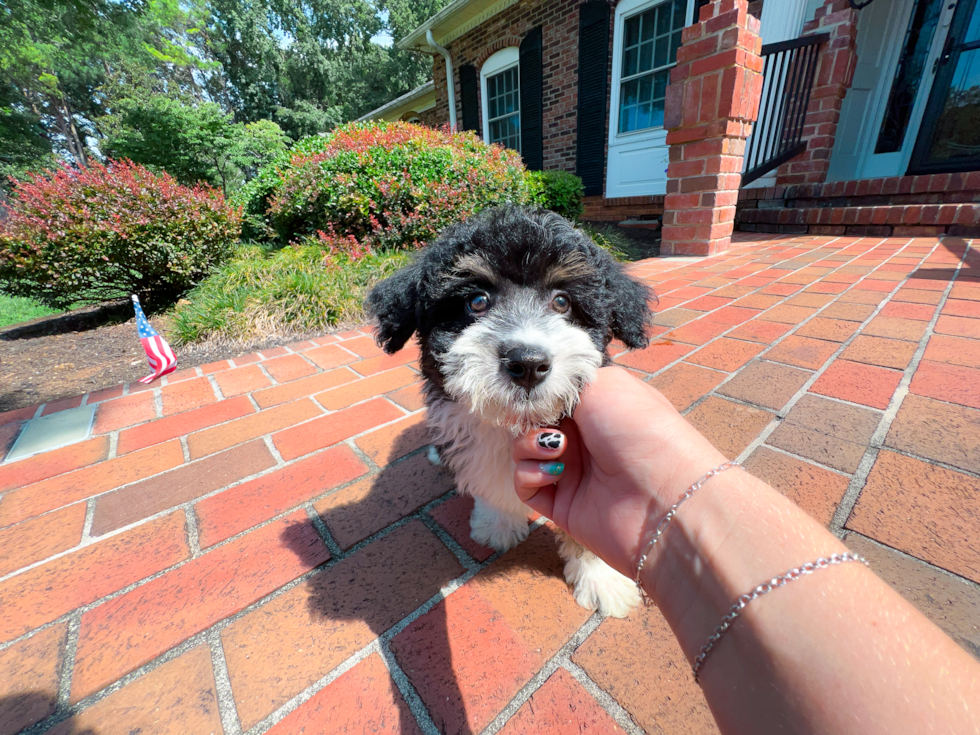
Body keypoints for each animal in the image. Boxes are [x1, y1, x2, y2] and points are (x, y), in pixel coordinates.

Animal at [368, 204, 652, 620]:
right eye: (477, 301)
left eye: (562, 302)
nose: (528, 362)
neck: (513, 424)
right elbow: (490, 479)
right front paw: (498, 525)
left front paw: (602, 579)